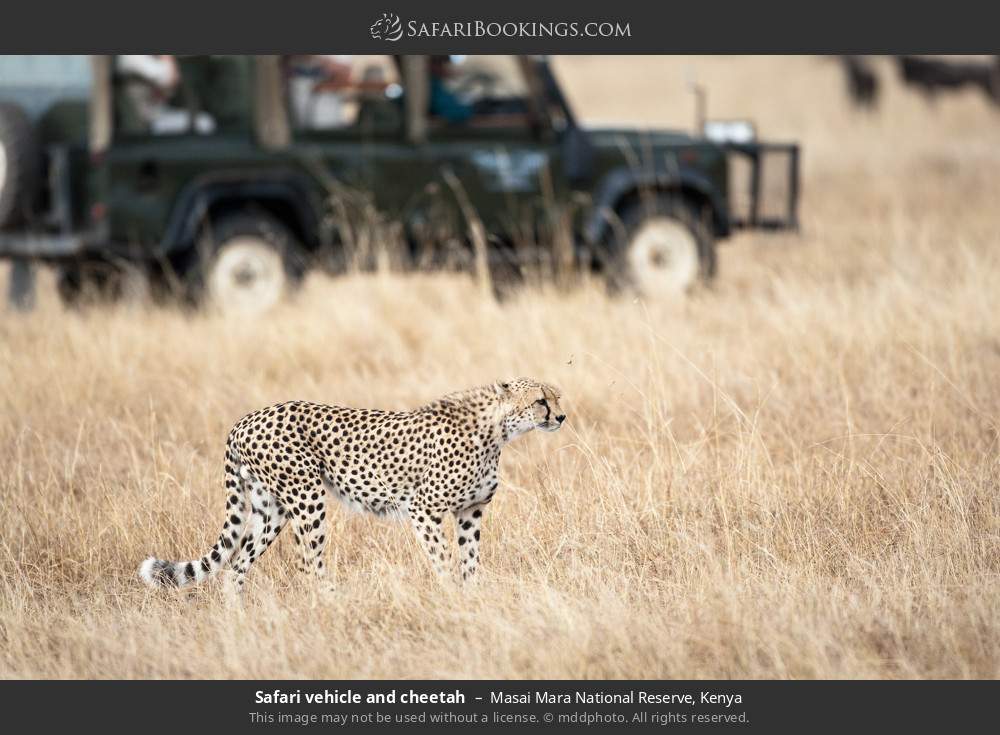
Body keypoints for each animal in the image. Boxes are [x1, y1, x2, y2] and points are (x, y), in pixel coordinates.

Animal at [137, 380, 568, 592]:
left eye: (557, 397)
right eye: (541, 400)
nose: (562, 417)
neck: (497, 430)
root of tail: (246, 419)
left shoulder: (470, 511)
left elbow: (470, 560)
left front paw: (471, 596)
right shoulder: (424, 508)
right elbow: (443, 560)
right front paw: (452, 596)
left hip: (270, 509)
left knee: (237, 564)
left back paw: (238, 623)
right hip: (306, 498)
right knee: (307, 564)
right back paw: (328, 606)